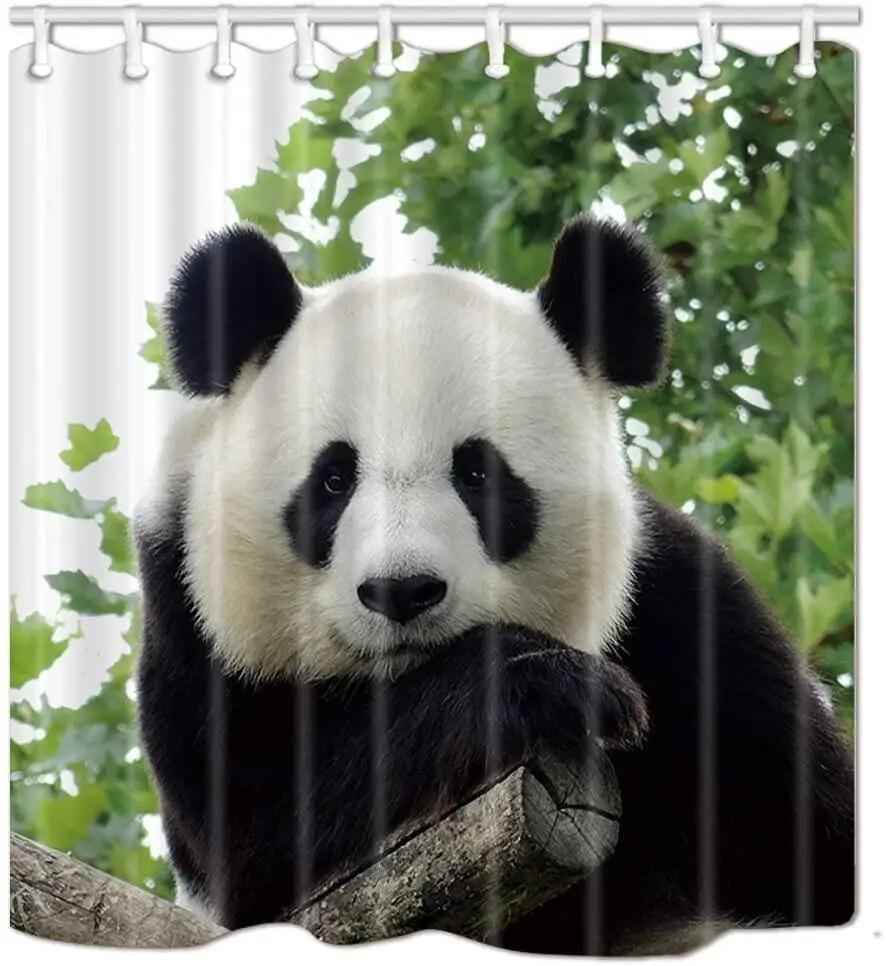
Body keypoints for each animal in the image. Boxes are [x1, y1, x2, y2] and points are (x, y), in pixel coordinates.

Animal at [135, 216, 853, 954]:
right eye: (333, 480)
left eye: (478, 474)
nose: (403, 591)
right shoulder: (191, 622)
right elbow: (263, 828)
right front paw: (548, 684)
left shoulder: (688, 620)